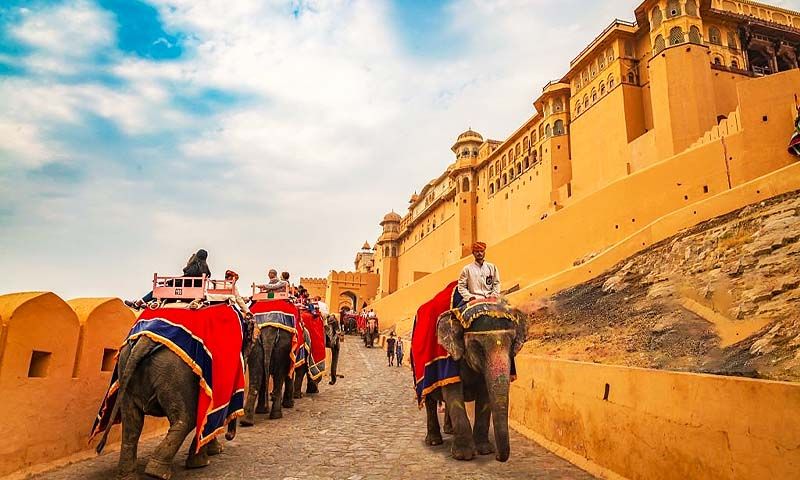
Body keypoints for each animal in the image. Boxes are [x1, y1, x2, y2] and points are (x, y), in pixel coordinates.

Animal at [423, 300, 528, 462]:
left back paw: (450, 430)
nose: (498, 457)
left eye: (512, 344)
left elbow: (484, 396)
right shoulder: (449, 361)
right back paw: (434, 441)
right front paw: (463, 455)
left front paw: (485, 450)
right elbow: (453, 395)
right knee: (429, 401)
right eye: (478, 347)